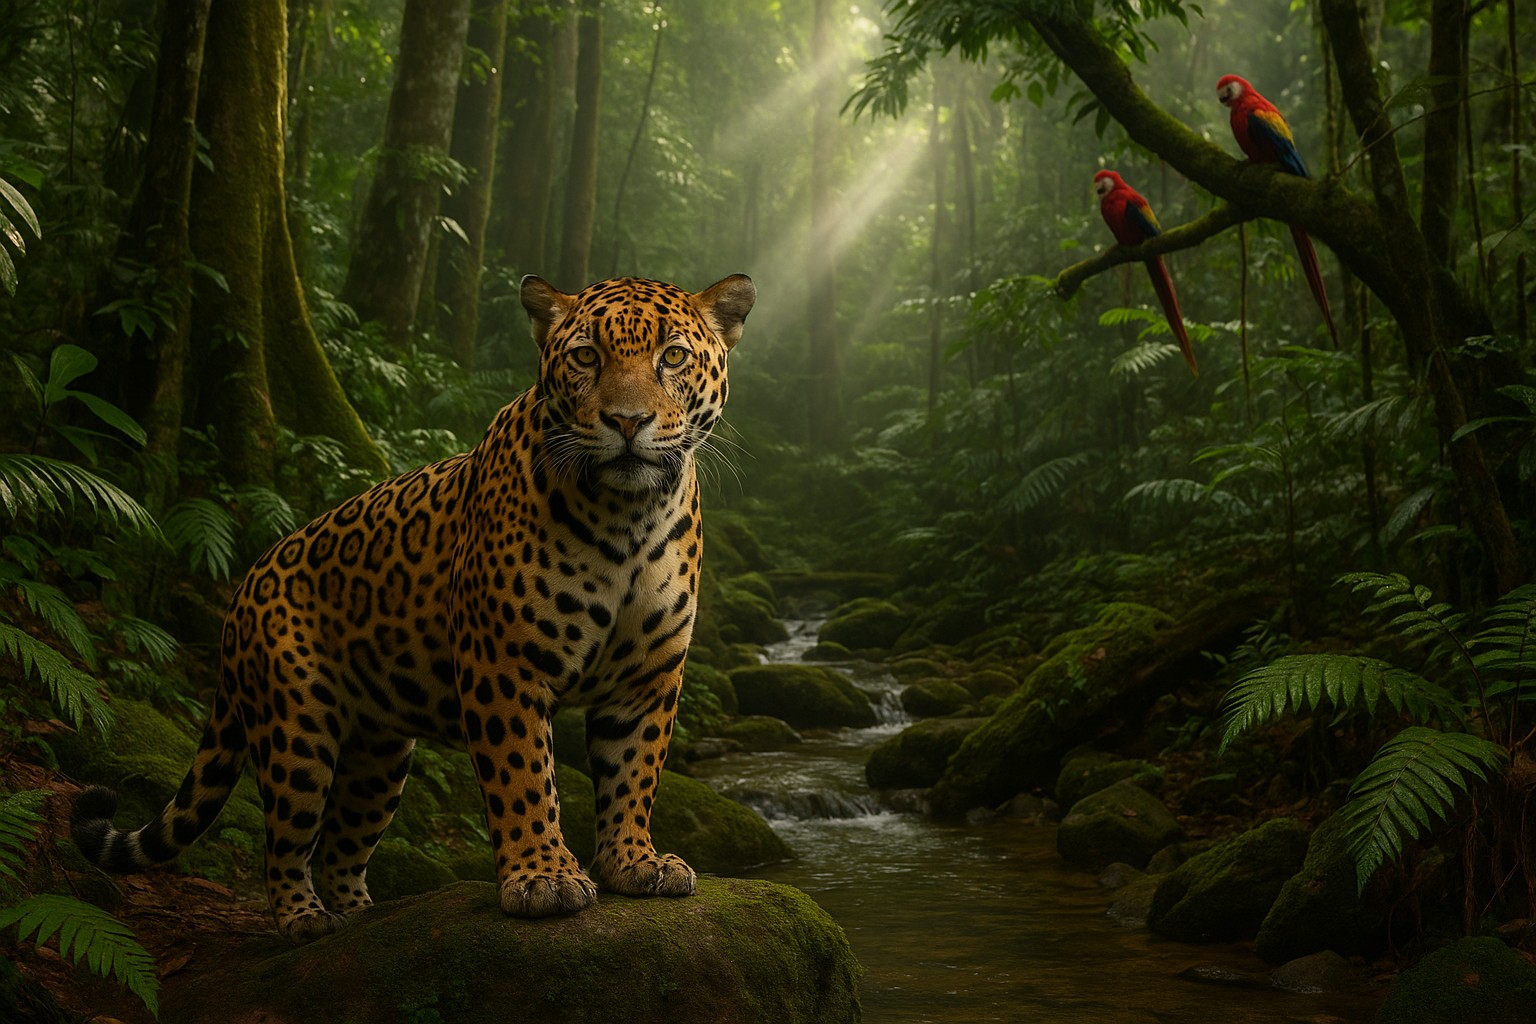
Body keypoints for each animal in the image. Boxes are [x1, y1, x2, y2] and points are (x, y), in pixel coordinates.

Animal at [71, 272, 756, 942]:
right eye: (586, 357)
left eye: (673, 357)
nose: (627, 421)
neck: (629, 518)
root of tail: (244, 586)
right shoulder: (501, 665)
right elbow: (525, 776)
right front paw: (543, 877)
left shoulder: (648, 676)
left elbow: (634, 773)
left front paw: (633, 862)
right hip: (296, 730)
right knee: (286, 841)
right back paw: (302, 920)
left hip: (378, 756)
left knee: (342, 845)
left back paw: (363, 917)